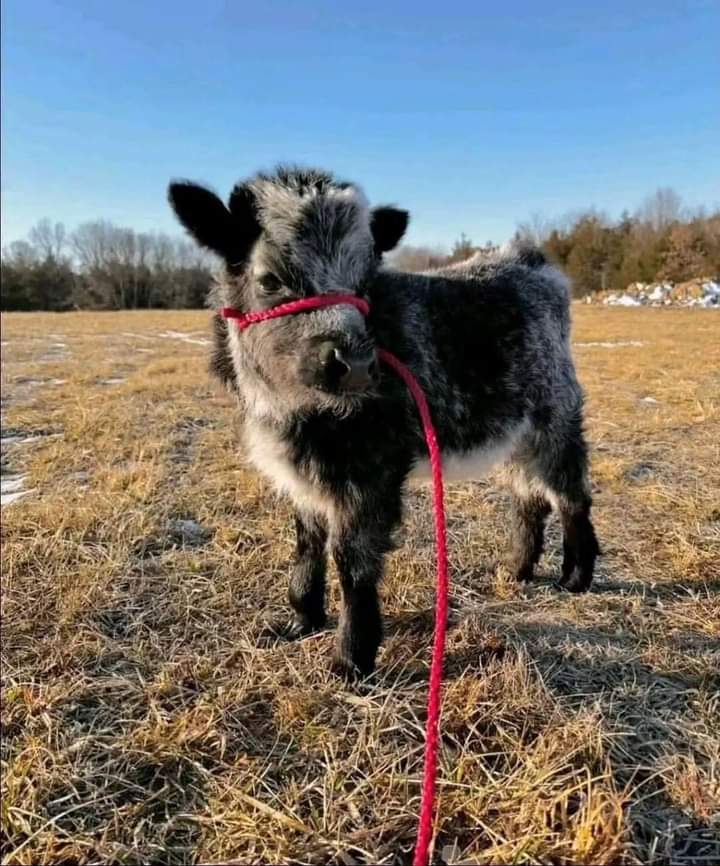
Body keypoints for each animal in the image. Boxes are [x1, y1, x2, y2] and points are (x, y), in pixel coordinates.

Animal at [167, 167, 596, 676]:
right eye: (269, 279)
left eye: (363, 281)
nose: (353, 365)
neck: (291, 409)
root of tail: (531, 262)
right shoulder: (305, 475)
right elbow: (306, 542)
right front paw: (302, 621)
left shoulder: (373, 472)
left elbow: (352, 558)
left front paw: (352, 659)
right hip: (514, 432)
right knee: (530, 498)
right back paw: (517, 570)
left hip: (555, 418)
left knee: (571, 495)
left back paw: (576, 577)